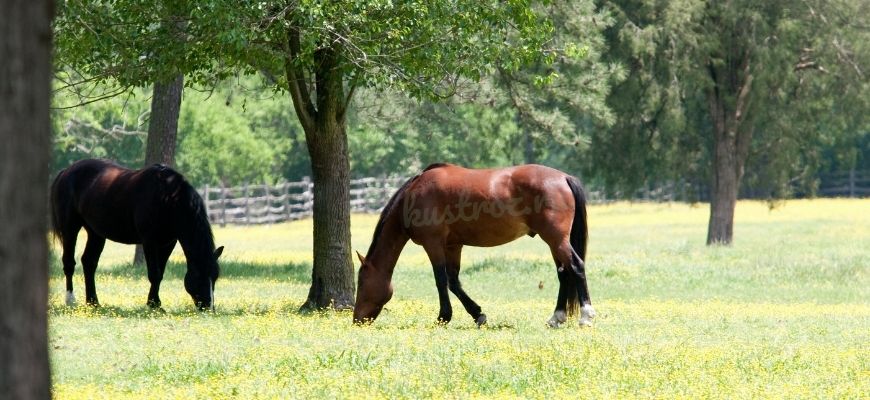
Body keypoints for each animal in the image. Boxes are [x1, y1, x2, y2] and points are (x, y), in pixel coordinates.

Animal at [50, 159, 225, 310]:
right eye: (199, 275)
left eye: (215, 276)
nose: (208, 307)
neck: (167, 197)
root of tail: (66, 171)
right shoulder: (149, 242)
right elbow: (154, 274)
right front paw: (155, 305)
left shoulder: (168, 243)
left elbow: (160, 273)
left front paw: (153, 303)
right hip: (70, 228)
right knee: (69, 263)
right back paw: (71, 300)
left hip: (96, 233)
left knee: (89, 262)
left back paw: (93, 302)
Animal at [352, 164, 592, 326]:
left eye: (361, 283)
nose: (357, 319)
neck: (414, 196)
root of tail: (564, 177)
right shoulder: (453, 246)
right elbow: (453, 281)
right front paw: (477, 314)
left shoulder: (433, 244)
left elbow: (441, 280)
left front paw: (443, 316)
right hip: (554, 241)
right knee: (564, 273)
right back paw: (556, 317)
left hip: (555, 238)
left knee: (576, 266)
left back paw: (586, 316)